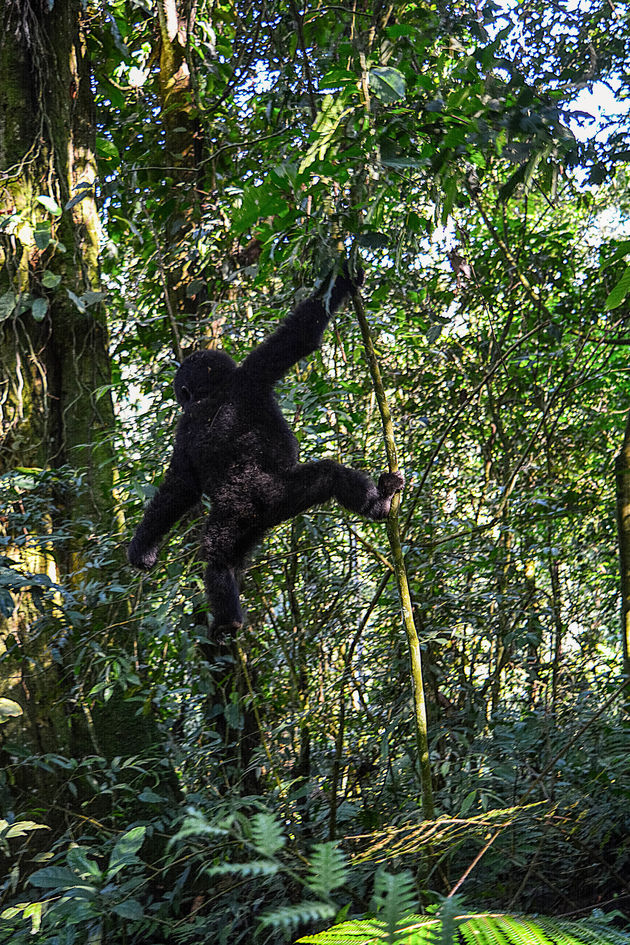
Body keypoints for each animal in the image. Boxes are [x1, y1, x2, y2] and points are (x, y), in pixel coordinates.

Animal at [128, 262, 404, 636]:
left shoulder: (204, 413)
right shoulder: (249, 377)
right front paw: (344, 278)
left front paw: (141, 549)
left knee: (223, 555)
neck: (211, 391)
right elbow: (300, 336)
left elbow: (177, 488)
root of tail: (261, 508)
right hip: (262, 501)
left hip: (264, 513)